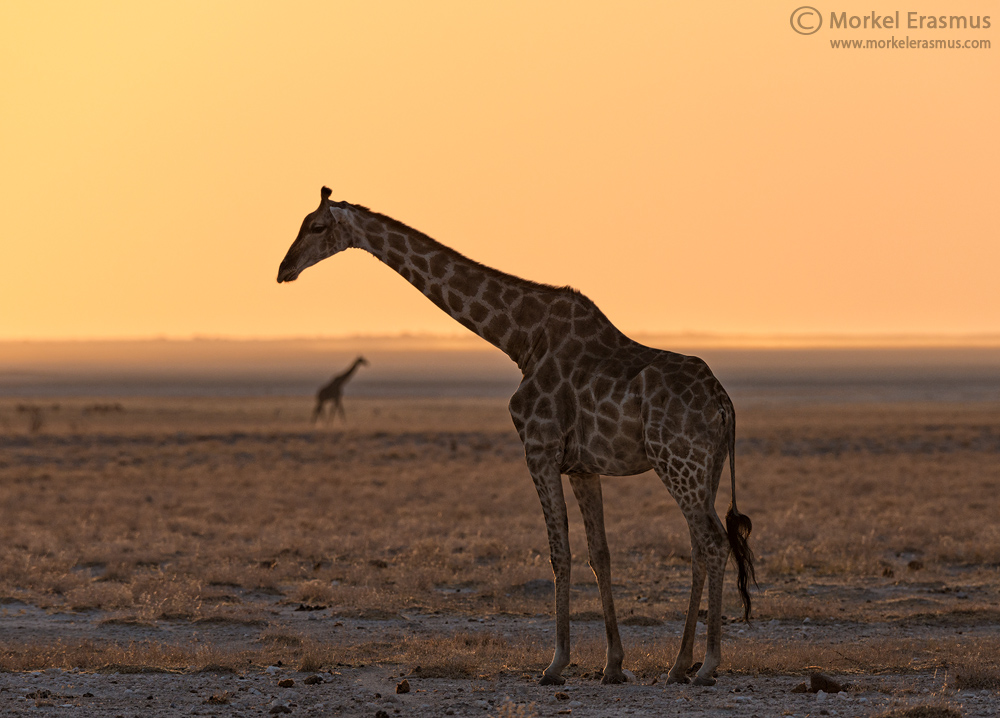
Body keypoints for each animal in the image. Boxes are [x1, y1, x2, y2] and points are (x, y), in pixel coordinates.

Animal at [277, 187, 755, 687]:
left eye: (316, 227)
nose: (283, 269)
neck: (521, 338)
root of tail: (724, 403)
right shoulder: (582, 466)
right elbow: (599, 553)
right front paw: (612, 664)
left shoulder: (538, 449)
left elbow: (558, 552)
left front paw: (556, 663)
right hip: (705, 468)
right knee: (700, 545)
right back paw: (679, 664)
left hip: (678, 461)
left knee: (713, 542)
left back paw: (708, 665)